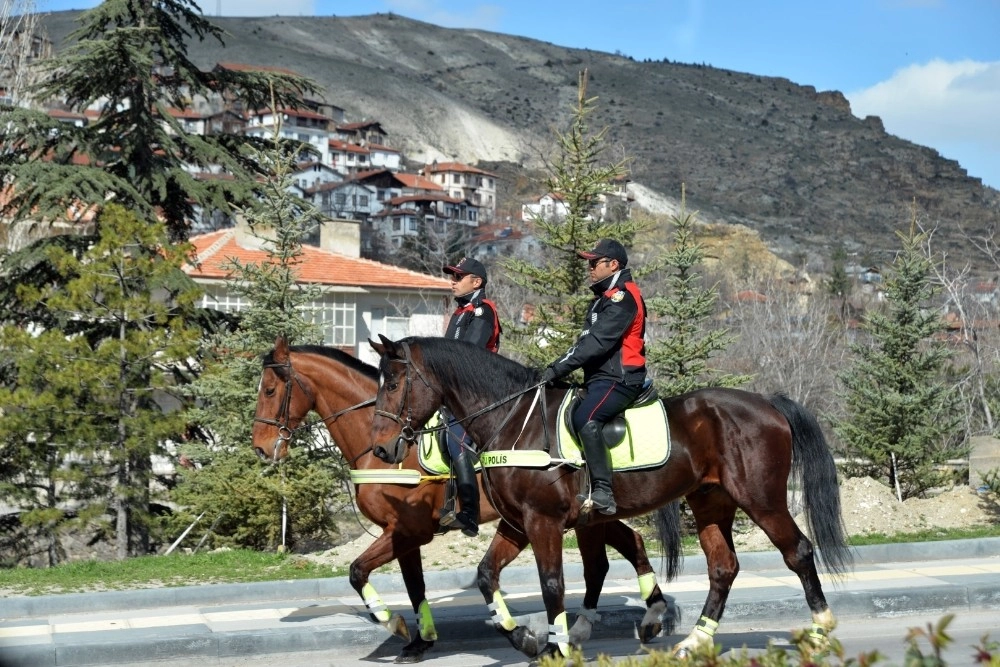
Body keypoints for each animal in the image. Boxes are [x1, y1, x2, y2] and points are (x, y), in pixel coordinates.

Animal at [250, 336, 680, 664]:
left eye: (270, 390)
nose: (260, 449)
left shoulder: (409, 531)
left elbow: (358, 571)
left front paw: (394, 623)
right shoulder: (405, 534)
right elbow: (414, 585)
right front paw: (420, 638)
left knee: (608, 558)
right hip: (589, 517)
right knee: (628, 543)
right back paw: (647, 614)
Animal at [368, 340, 852, 664]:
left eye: (393, 382)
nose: (383, 449)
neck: (513, 419)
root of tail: (768, 403)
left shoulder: (542, 521)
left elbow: (552, 585)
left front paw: (557, 644)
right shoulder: (518, 523)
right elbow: (487, 576)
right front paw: (525, 638)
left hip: (762, 500)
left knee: (798, 552)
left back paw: (821, 630)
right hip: (711, 503)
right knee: (723, 569)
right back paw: (695, 640)